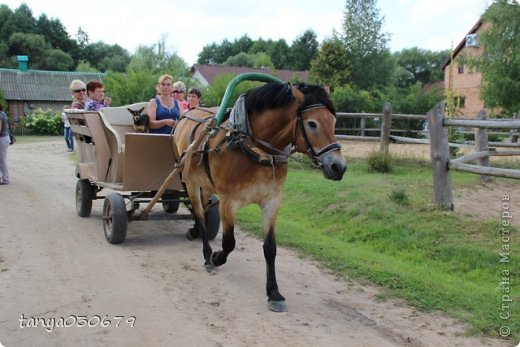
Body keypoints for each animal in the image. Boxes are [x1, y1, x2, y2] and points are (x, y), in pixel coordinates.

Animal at [173, 82, 348, 312]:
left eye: (334, 122)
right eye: (312, 123)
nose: (338, 167)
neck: (250, 146)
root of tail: (186, 116)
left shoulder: (271, 202)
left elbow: (270, 248)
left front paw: (273, 292)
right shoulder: (228, 202)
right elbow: (229, 242)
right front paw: (217, 257)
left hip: (206, 184)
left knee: (201, 208)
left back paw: (194, 232)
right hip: (191, 182)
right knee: (200, 214)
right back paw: (206, 254)